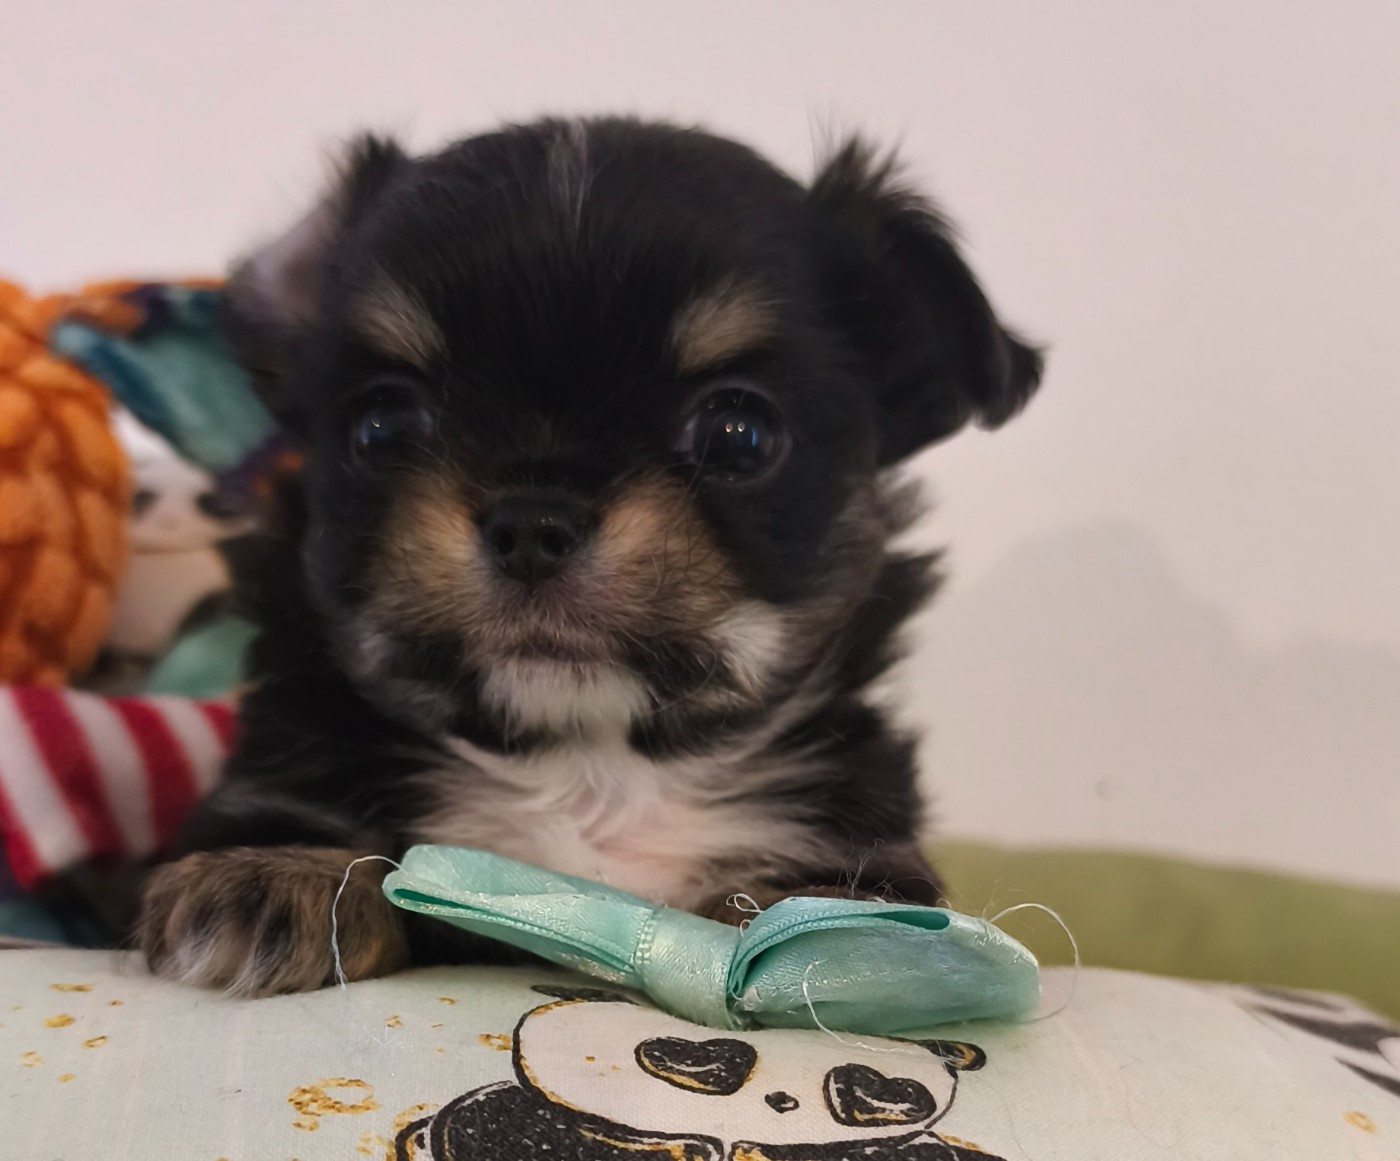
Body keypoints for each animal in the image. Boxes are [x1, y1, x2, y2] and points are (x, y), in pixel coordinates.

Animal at [136, 116, 1043, 996]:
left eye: (740, 435)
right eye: (380, 426)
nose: (532, 522)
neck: (590, 768)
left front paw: (838, 936)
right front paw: (275, 871)